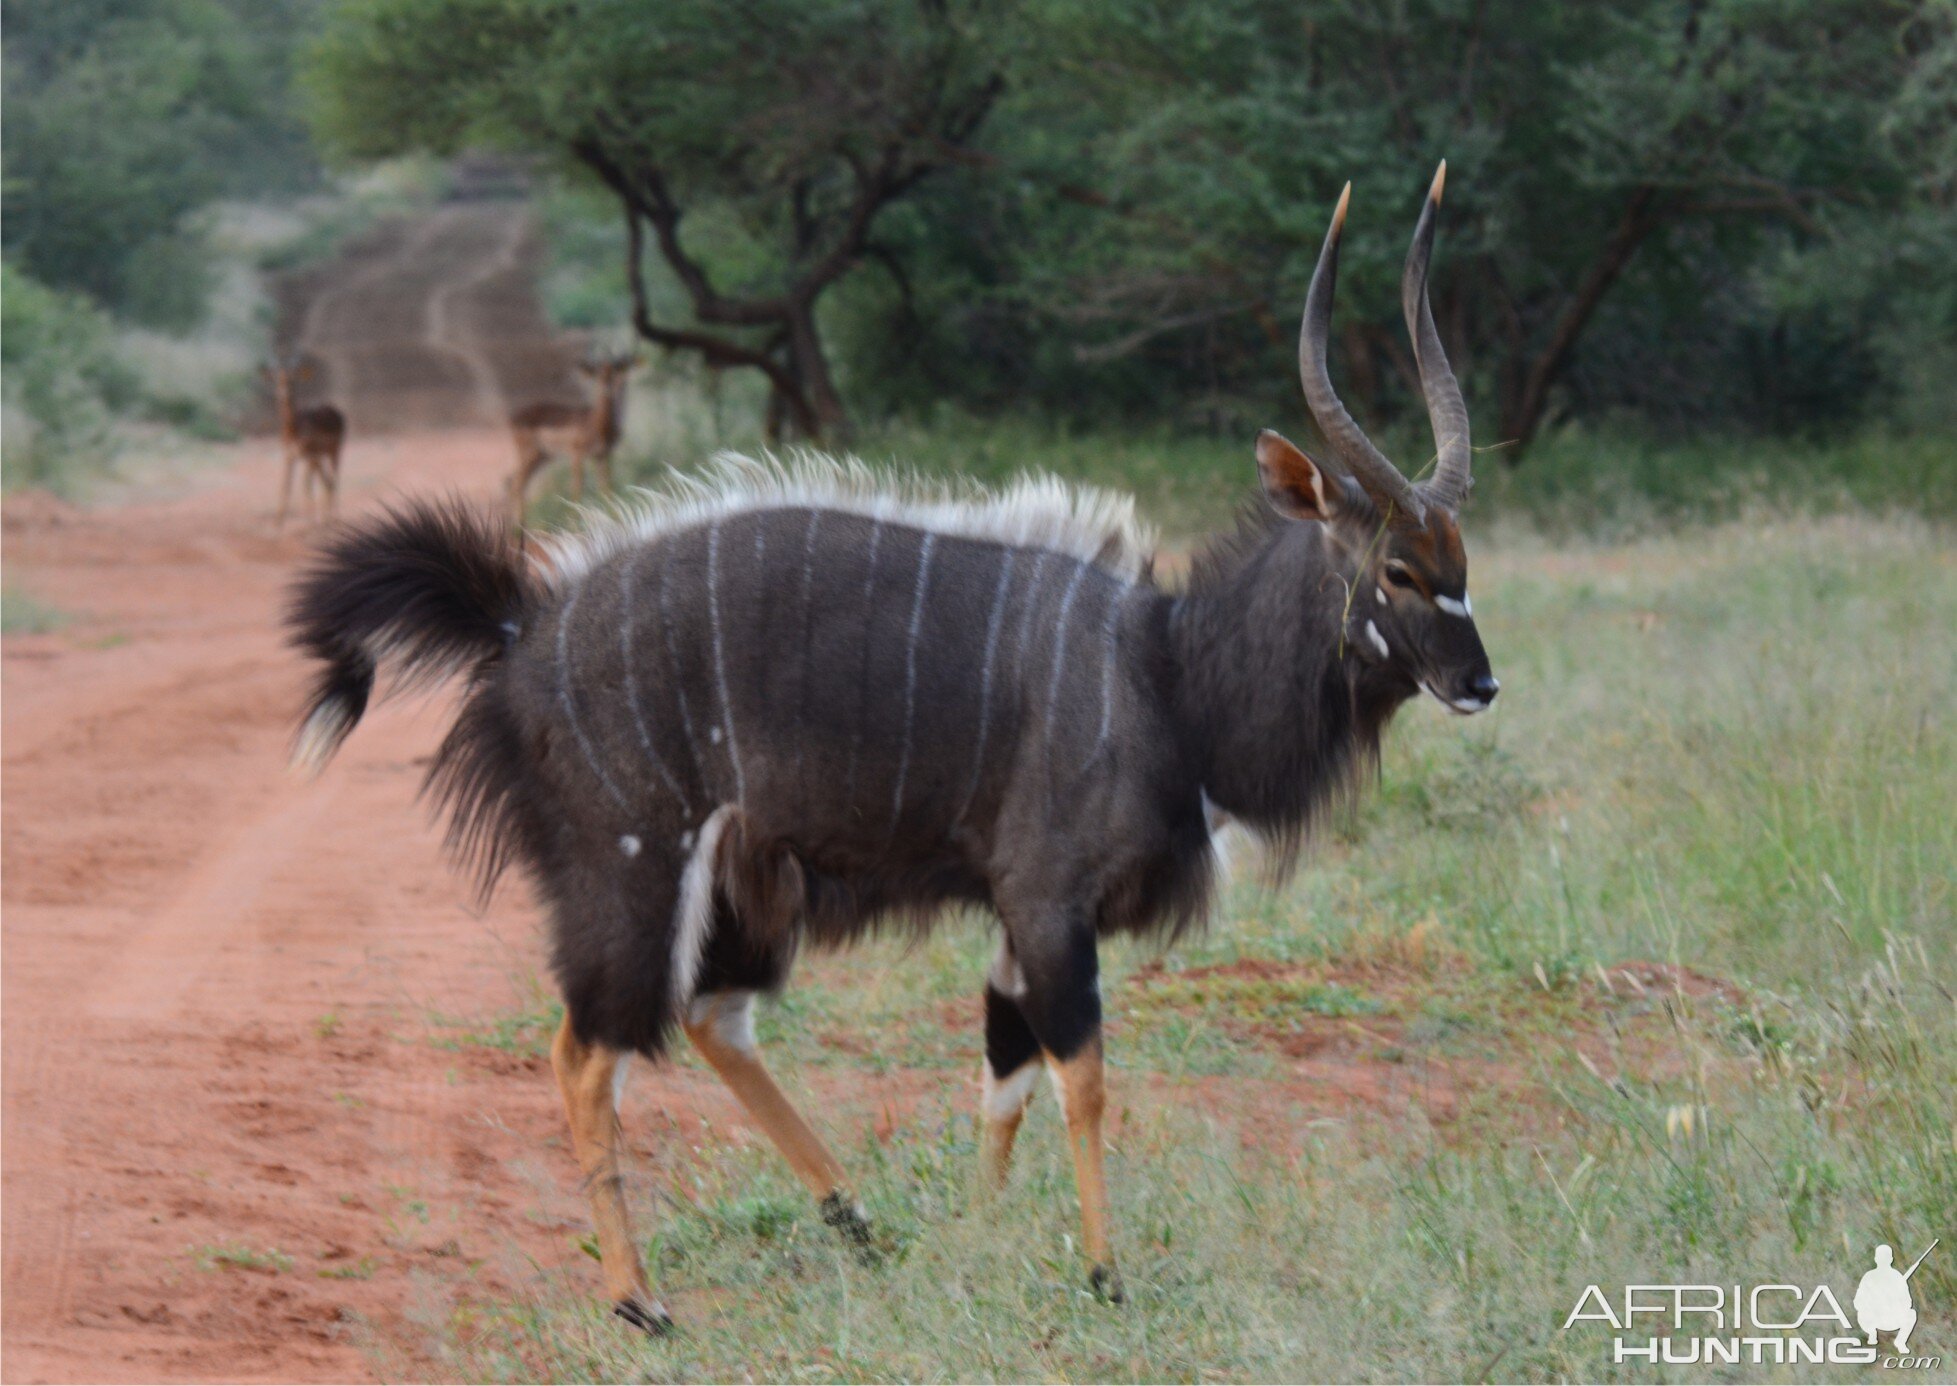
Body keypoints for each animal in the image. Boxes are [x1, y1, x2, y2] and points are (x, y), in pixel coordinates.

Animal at [266, 352, 346, 532]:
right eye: (278, 379)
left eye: (293, 380)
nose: (283, 394)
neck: (294, 429)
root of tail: (335, 410)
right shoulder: (289, 457)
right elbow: (286, 486)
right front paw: (277, 523)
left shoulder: (309, 455)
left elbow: (306, 486)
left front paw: (309, 524)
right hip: (319, 458)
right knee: (327, 482)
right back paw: (327, 520)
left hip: (334, 452)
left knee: (334, 479)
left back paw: (335, 519)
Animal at [508, 354, 637, 528]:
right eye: (597, 373)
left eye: (614, 372)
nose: (607, 387)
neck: (596, 424)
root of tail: (514, 417)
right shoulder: (577, 454)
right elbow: (577, 488)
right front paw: (574, 527)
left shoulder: (603, 455)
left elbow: (606, 486)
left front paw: (615, 520)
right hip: (530, 455)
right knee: (516, 484)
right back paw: (519, 529)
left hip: (542, 457)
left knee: (516, 483)